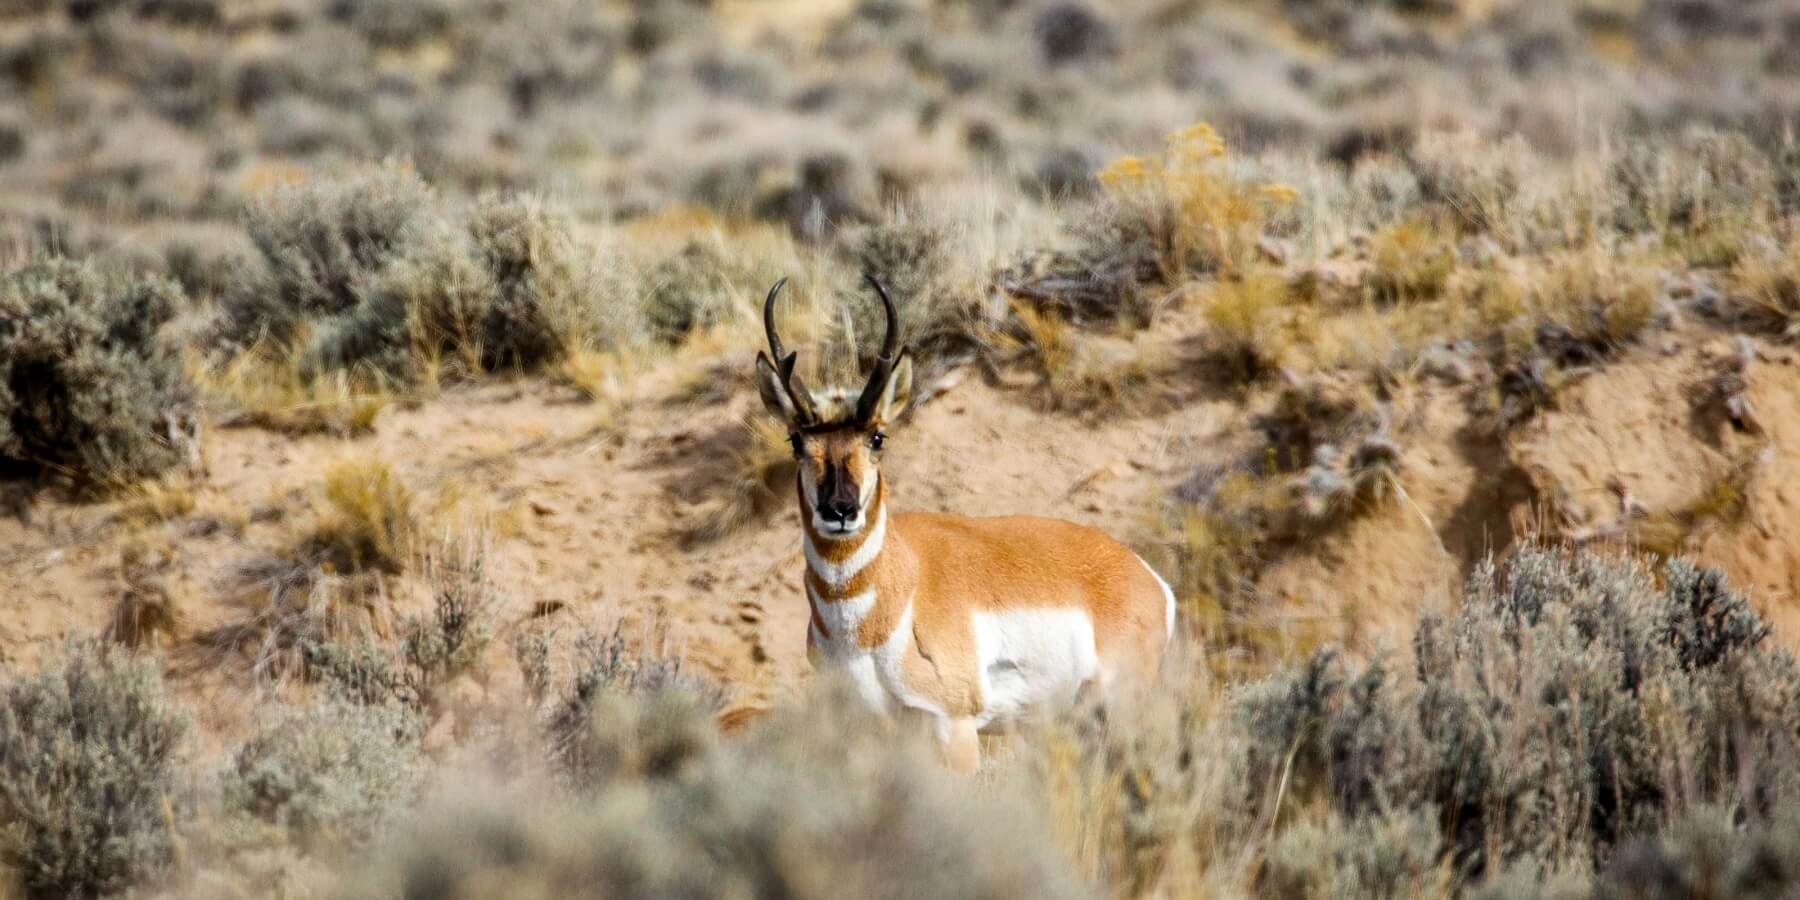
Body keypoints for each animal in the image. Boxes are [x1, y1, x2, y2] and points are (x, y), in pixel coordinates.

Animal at [752, 275, 1173, 774]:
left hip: (1122, 707)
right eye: (797, 441)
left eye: (877, 437)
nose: (840, 510)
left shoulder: (954, 726)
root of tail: (1145, 575)